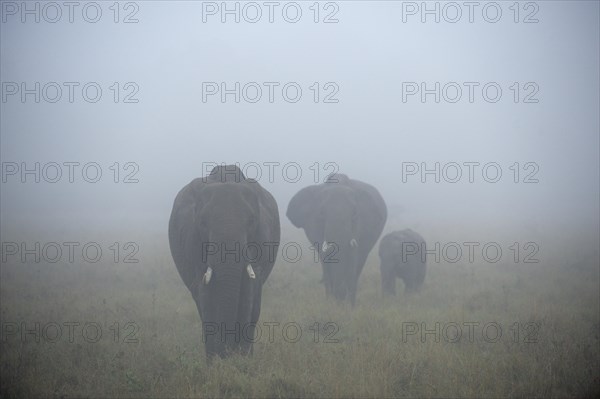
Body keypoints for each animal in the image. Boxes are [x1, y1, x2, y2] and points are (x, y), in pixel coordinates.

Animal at [169, 165, 282, 360]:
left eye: (252, 222)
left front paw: (242, 361)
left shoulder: (261, 240)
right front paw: (216, 362)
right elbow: (205, 295)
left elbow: (250, 291)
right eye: (202, 222)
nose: (228, 351)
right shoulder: (193, 242)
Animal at [288, 173, 390, 308]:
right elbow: (325, 260)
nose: (339, 297)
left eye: (355, 213)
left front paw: (348, 307)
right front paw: (331, 304)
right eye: (321, 213)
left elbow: (354, 259)